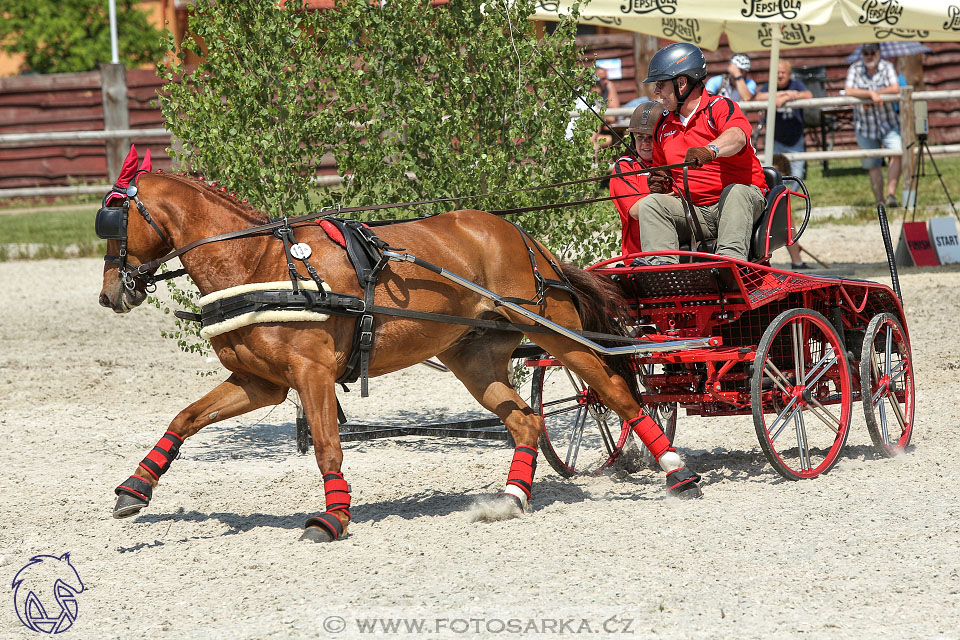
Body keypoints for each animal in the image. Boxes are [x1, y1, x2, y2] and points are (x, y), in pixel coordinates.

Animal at [97, 149, 700, 540]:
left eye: (112, 218)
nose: (109, 295)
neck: (261, 265)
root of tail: (522, 236)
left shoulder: (311, 374)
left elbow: (327, 445)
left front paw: (331, 518)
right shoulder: (259, 382)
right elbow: (184, 418)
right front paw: (134, 489)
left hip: (554, 332)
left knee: (615, 393)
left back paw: (679, 473)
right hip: (474, 357)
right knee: (526, 419)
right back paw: (511, 498)